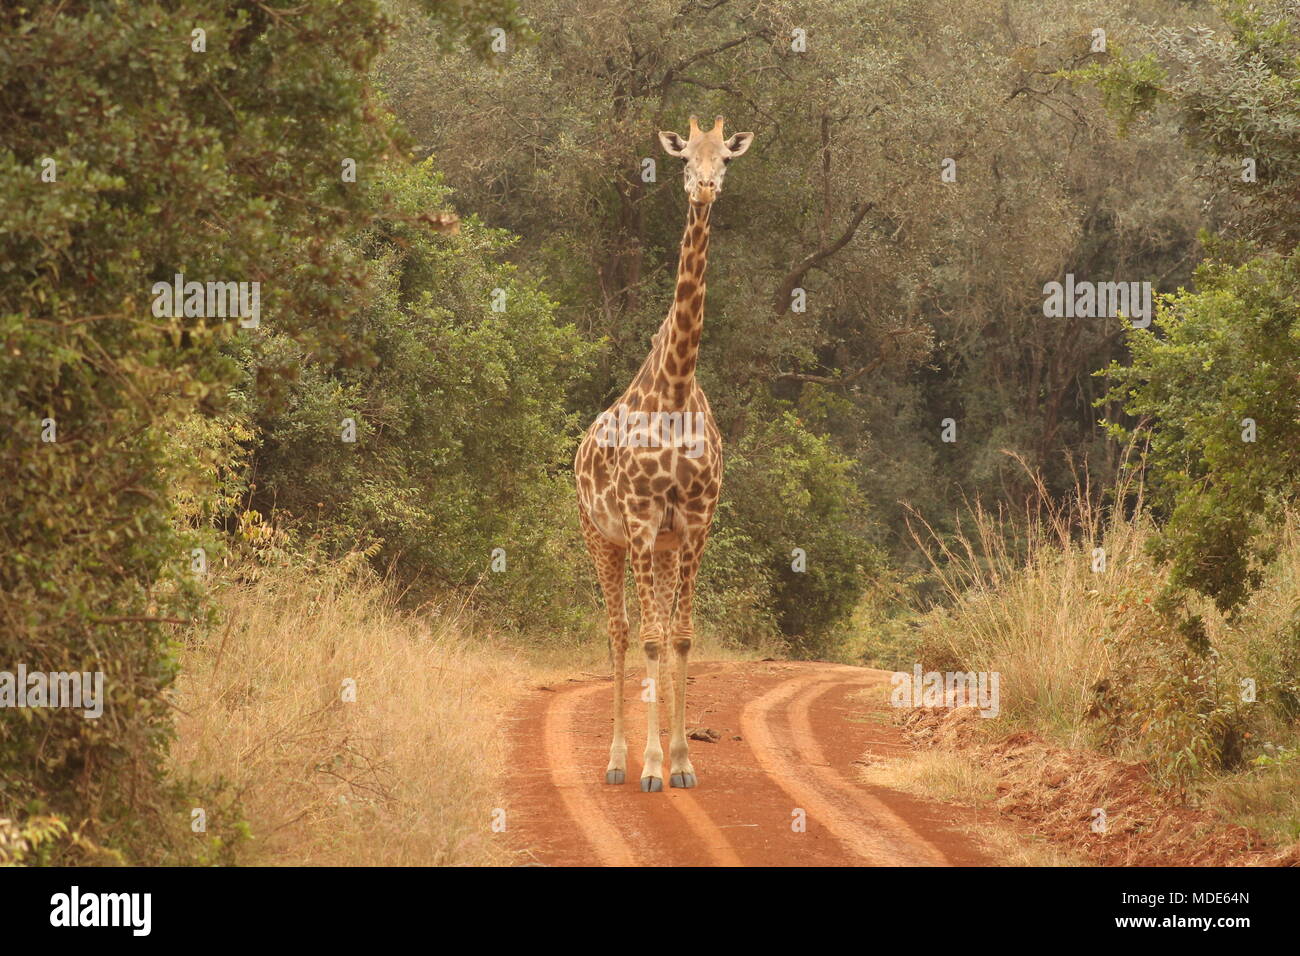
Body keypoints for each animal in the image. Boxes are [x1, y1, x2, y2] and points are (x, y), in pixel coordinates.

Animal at [577, 115, 759, 790]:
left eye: (725, 159)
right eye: (684, 160)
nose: (703, 188)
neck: (677, 386)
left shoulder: (696, 522)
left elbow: (681, 636)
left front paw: (683, 762)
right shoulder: (639, 516)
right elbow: (652, 639)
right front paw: (653, 767)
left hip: (658, 545)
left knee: (647, 629)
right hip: (603, 536)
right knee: (621, 632)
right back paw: (616, 762)